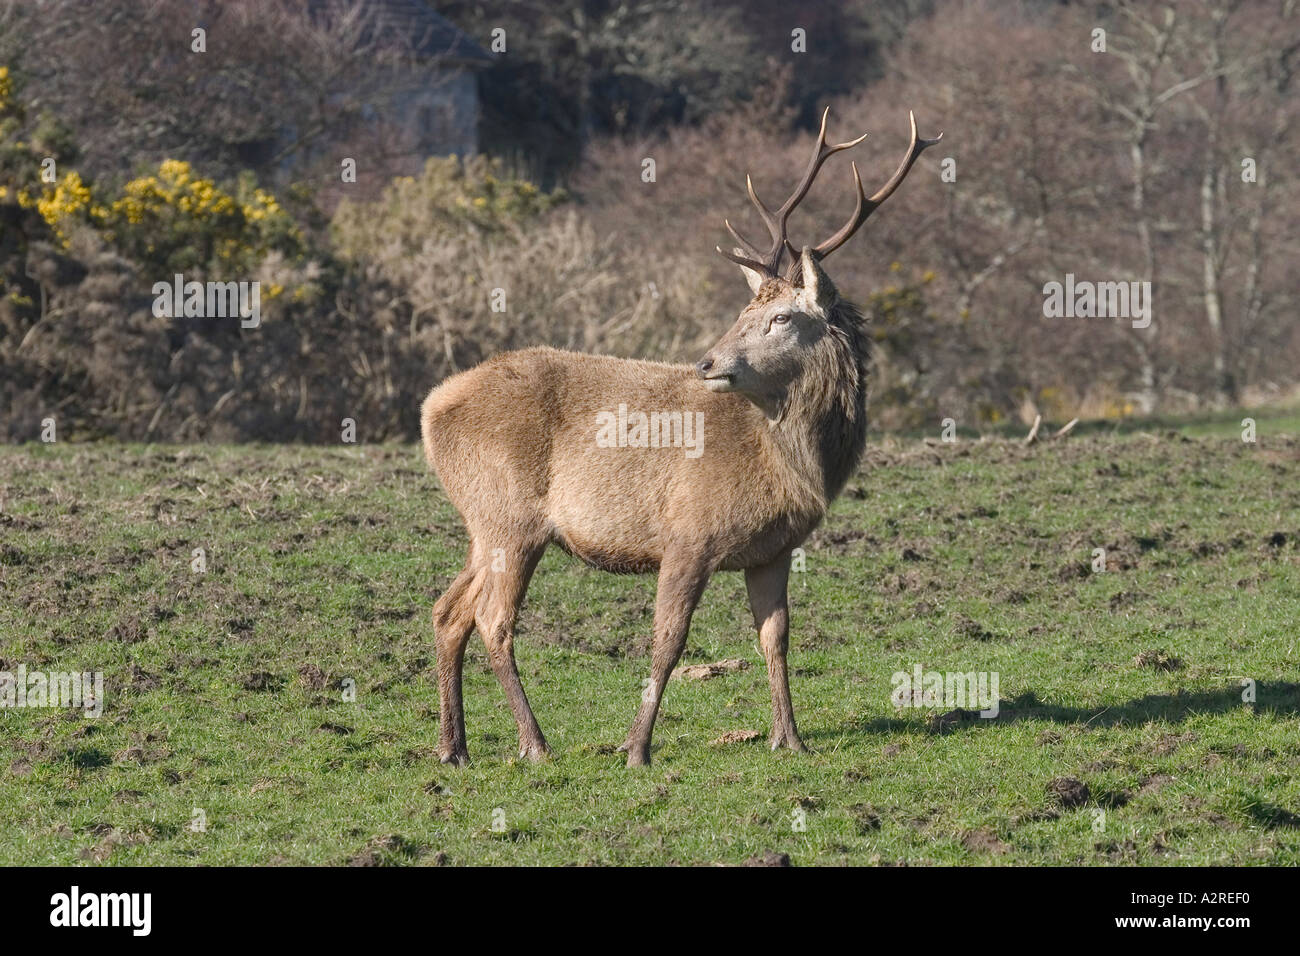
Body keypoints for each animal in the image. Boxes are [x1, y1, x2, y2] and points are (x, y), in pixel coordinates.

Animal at [421, 108, 941, 764]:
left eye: (779, 316)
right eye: (744, 312)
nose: (708, 363)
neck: (793, 467)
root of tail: (430, 408)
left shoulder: (774, 549)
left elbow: (776, 637)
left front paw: (789, 738)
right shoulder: (689, 534)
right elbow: (668, 640)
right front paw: (636, 748)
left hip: (482, 523)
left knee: (448, 611)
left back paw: (454, 747)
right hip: (508, 516)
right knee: (493, 619)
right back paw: (533, 744)